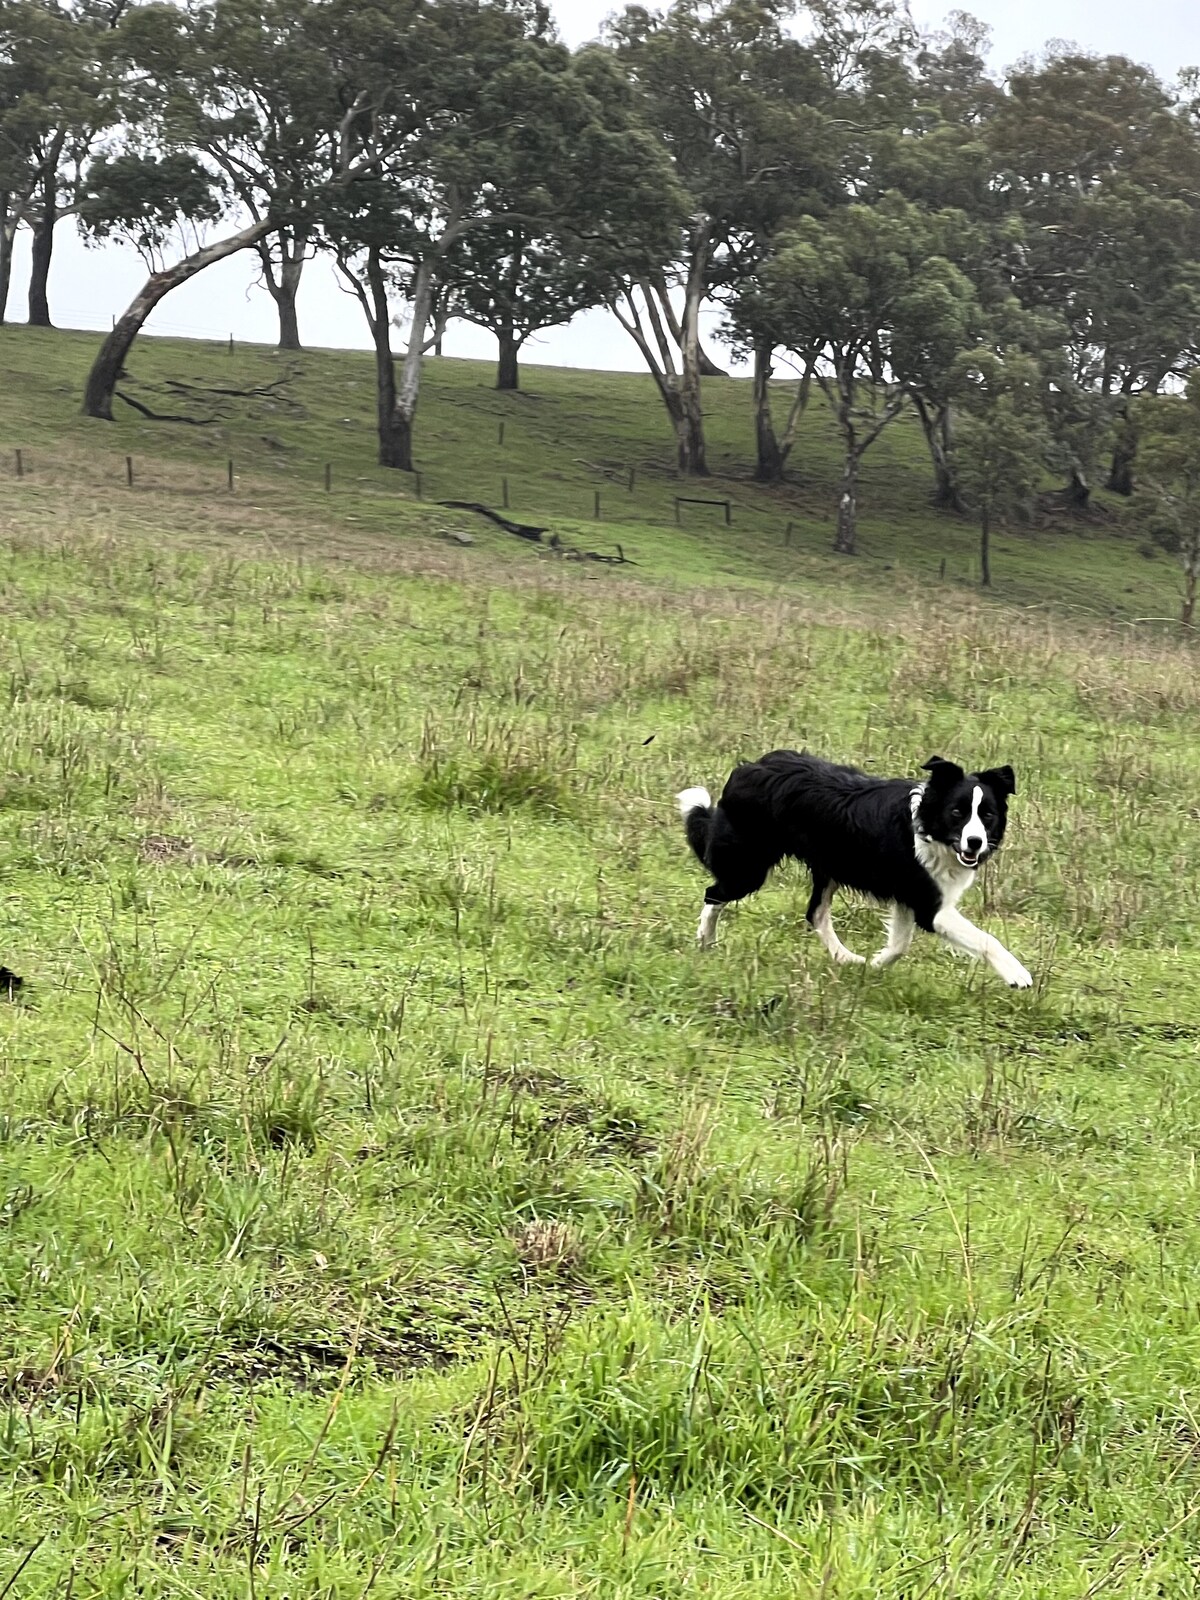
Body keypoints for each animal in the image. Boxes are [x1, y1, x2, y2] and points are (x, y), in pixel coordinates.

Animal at [676, 752, 1032, 988]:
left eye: (987, 815)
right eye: (957, 812)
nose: (975, 842)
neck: (929, 830)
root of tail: (748, 768)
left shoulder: (908, 898)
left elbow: (899, 945)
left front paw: (874, 964)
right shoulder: (930, 906)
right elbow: (986, 939)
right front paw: (1018, 974)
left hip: (827, 869)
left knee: (815, 914)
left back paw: (846, 959)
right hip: (748, 868)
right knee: (714, 893)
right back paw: (705, 941)